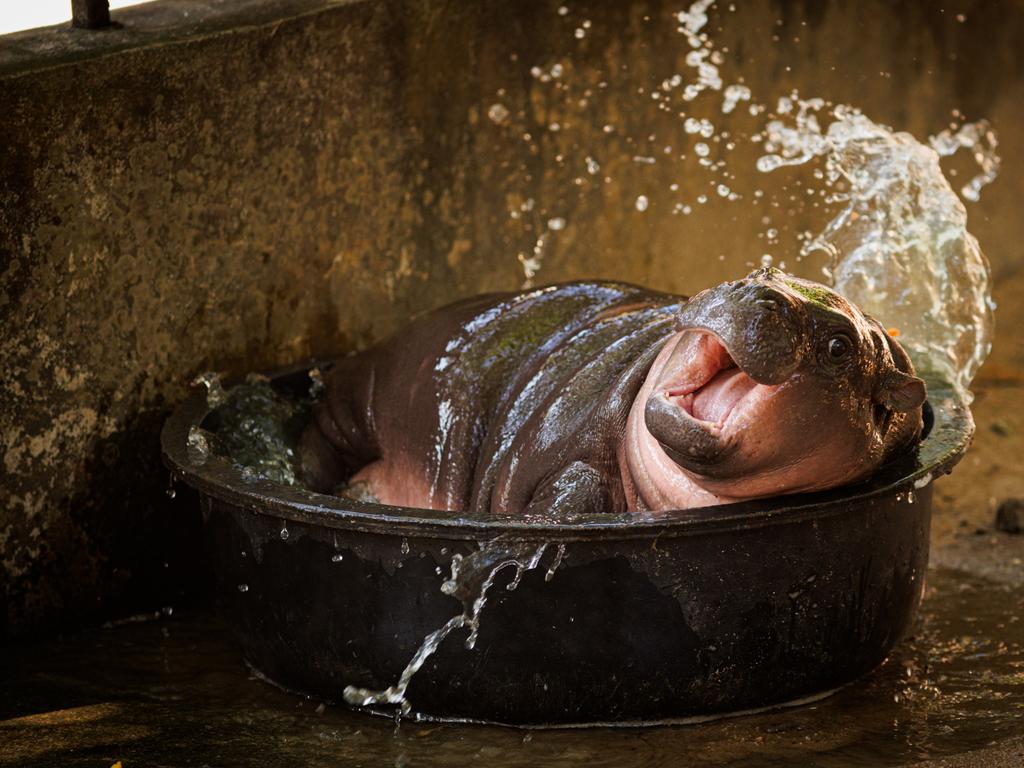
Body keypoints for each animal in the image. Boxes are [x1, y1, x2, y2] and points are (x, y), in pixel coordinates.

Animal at [299, 268, 929, 514]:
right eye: (760, 270)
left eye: (840, 347)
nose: (758, 293)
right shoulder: (571, 451)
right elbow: (567, 493)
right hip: (359, 405)